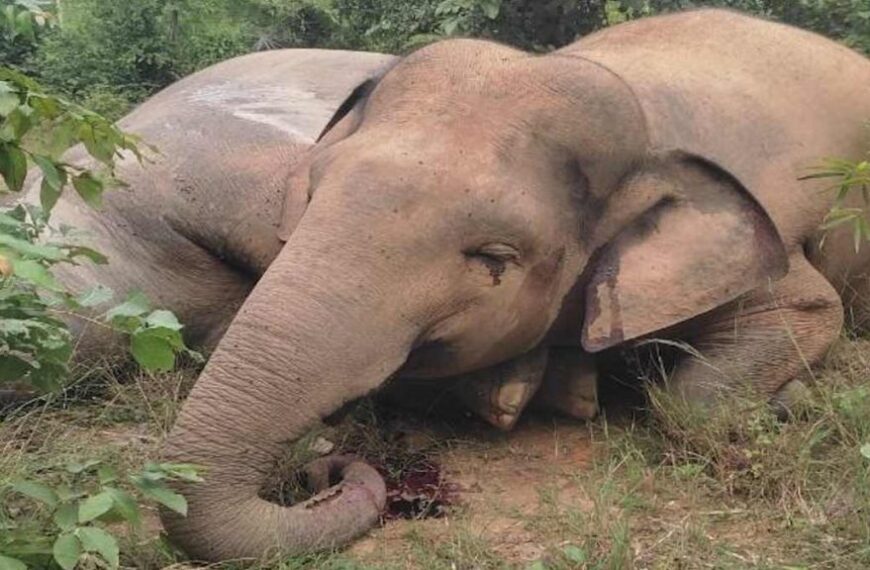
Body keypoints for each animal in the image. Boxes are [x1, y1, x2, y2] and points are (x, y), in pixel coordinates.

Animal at [11, 6, 870, 560]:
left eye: (494, 257)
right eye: (310, 193)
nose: (321, 468)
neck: (614, 78)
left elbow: (803, 310)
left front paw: (789, 403)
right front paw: (530, 388)